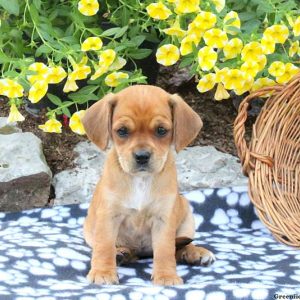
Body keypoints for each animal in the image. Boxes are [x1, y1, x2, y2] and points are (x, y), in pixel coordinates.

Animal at [81, 85, 214, 286]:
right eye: (122, 131)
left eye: (161, 130)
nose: (142, 156)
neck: (141, 180)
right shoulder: (108, 216)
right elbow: (104, 247)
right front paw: (103, 272)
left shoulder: (163, 219)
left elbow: (165, 251)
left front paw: (166, 275)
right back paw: (121, 253)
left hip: (187, 217)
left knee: (181, 245)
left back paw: (195, 252)